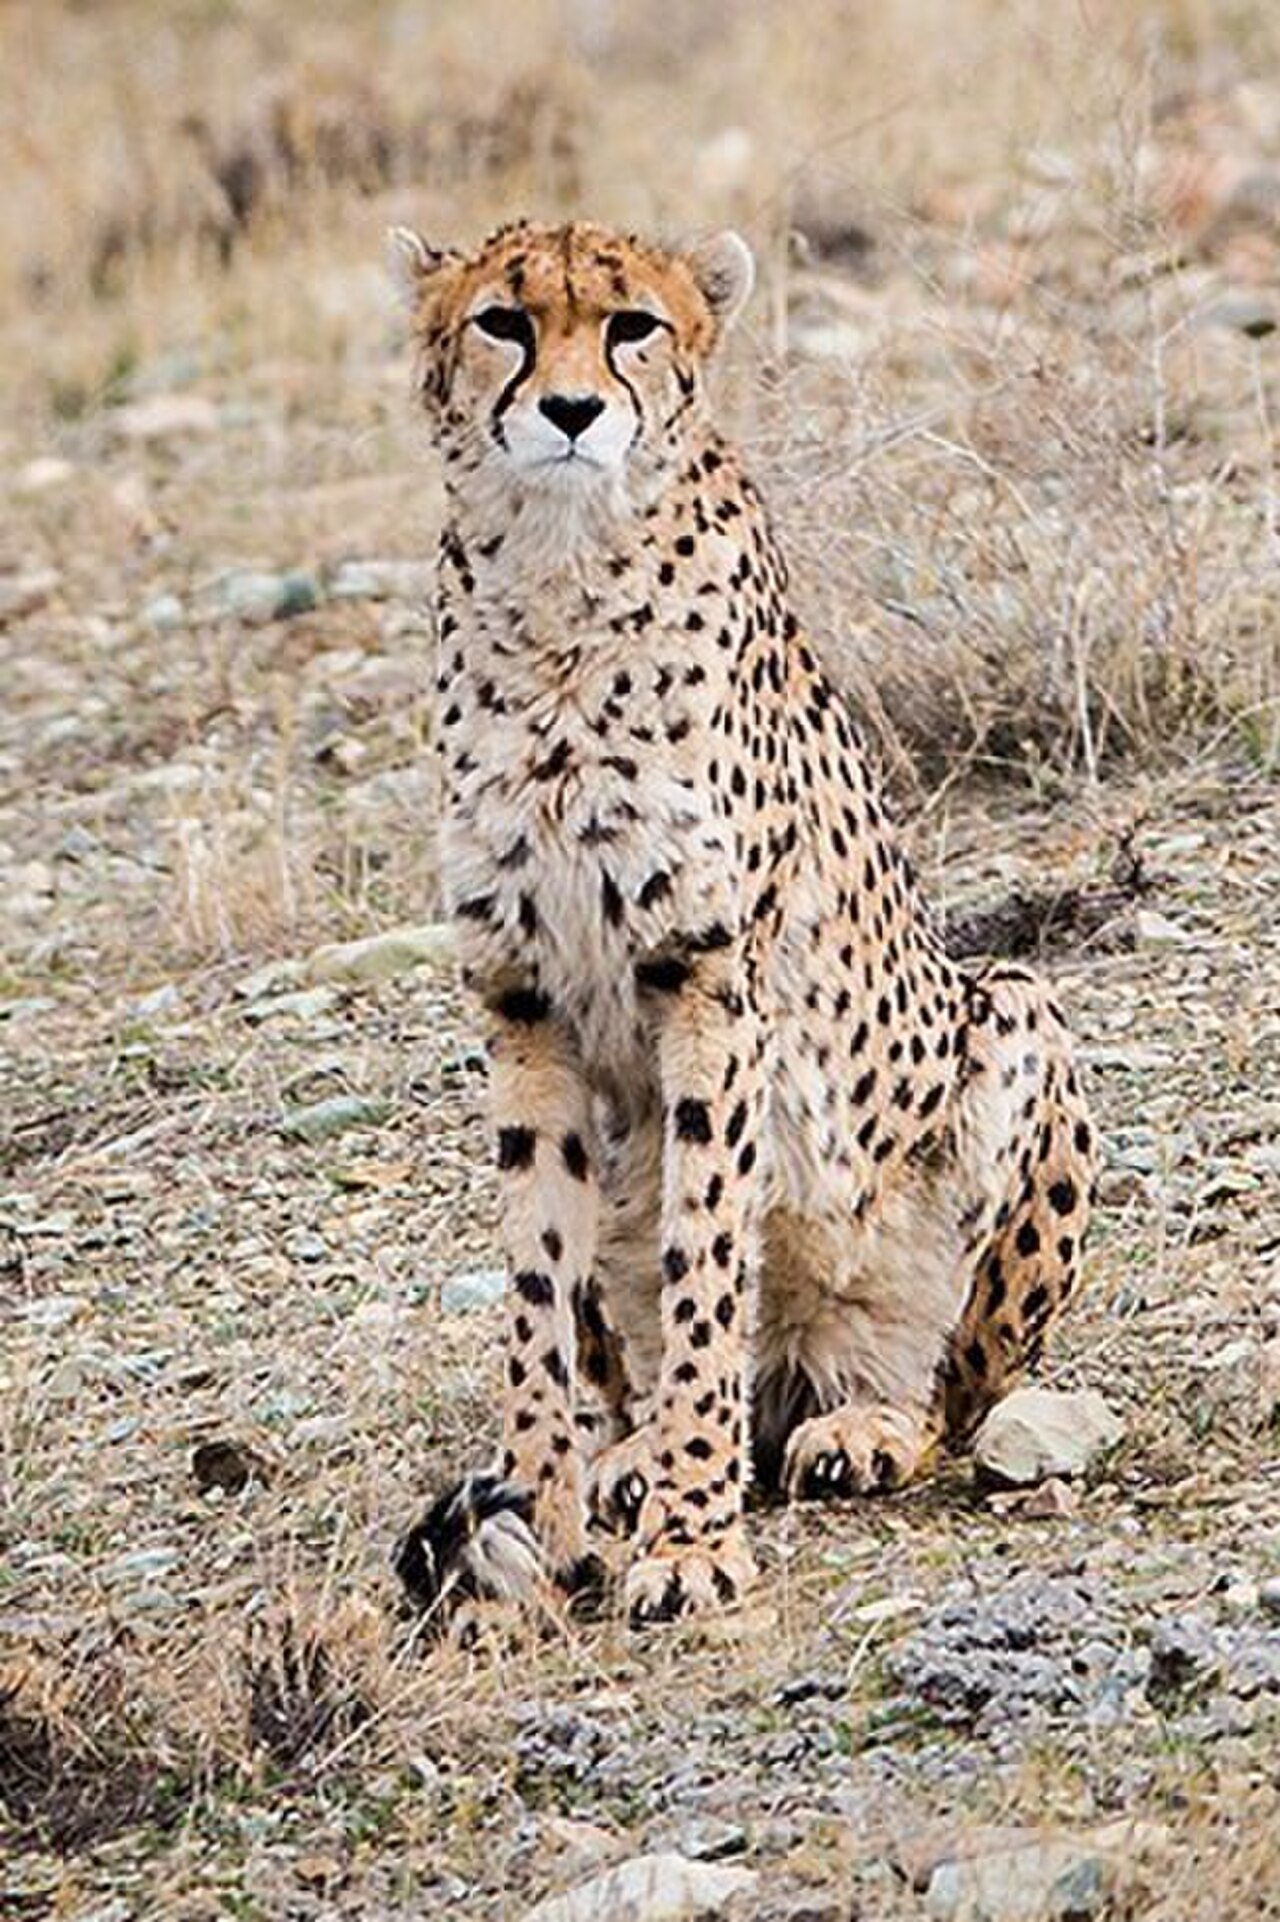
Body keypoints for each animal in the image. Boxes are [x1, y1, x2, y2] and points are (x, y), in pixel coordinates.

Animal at [389, 217, 1097, 1628]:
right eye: (502, 322)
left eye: (631, 327)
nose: (569, 411)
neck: (556, 578)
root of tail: (801, 1377)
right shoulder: (520, 1003)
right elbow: (537, 1286)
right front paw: (541, 1522)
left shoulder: (708, 982)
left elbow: (707, 1254)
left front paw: (691, 1539)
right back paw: (627, 1455)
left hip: (1012, 1016)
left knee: (949, 1386)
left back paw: (856, 1426)